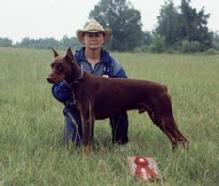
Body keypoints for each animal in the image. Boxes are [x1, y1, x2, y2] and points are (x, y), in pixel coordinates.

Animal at [47, 48, 188, 153]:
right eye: (52, 65)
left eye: (60, 66)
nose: (48, 78)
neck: (79, 81)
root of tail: (163, 87)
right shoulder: (84, 117)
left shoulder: (88, 117)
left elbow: (87, 142)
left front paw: (85, 157)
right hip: (157, 118)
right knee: (174, 139)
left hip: (164, 116)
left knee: (182, 139)